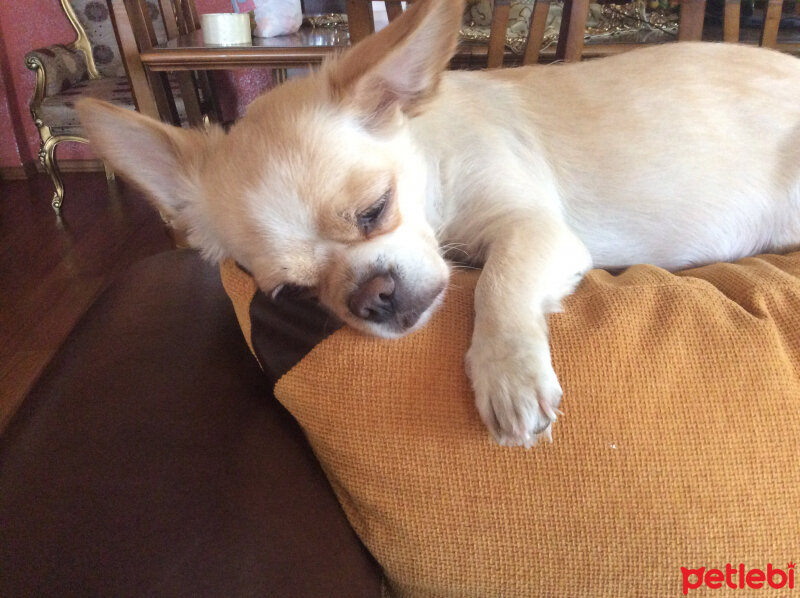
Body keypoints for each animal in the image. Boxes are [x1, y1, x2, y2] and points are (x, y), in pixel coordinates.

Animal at [78, 0, 800, 450]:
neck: (438, 181)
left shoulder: (534, 229)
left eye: (375, 209)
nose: (371, 297)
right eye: (292, 293)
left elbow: (497, 282)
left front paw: (507, 374)